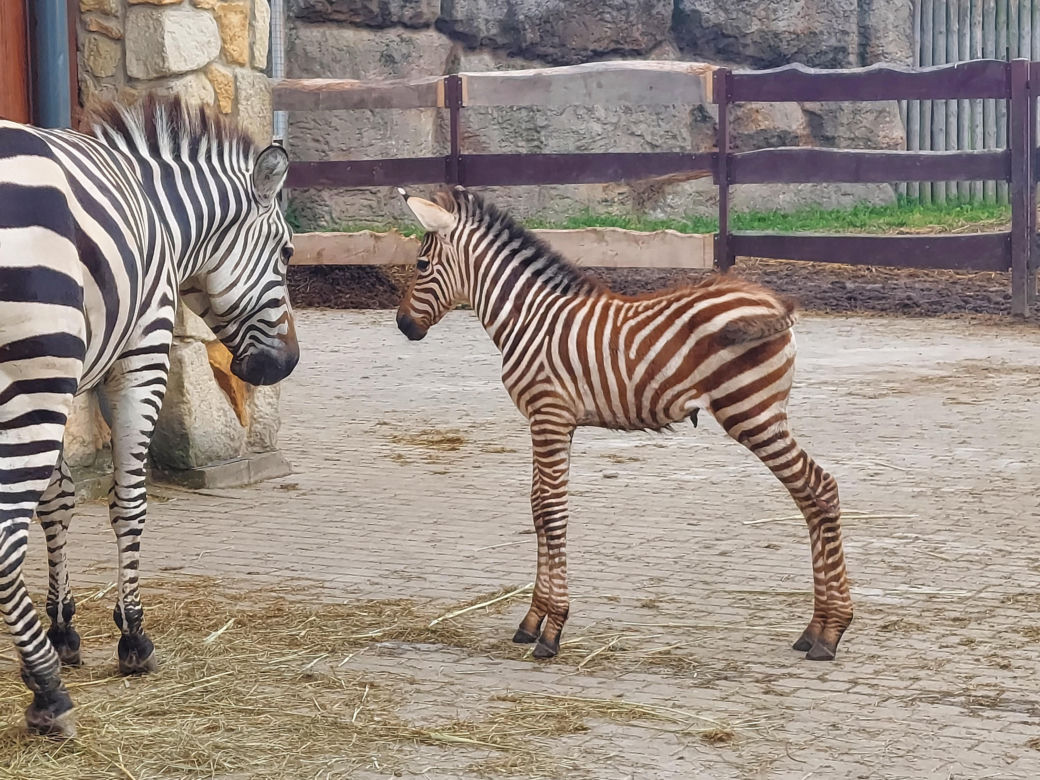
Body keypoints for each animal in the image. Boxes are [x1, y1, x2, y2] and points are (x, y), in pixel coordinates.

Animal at [0, 94, 299, 737]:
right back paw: (48, 692)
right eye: (288, 252)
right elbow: (128, 503)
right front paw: (132, 636)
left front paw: (61, 628)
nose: (286, 364)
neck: (160, 215)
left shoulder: (66, 374)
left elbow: (58, 500)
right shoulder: (140, 353)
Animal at [395, 187, 853, 663]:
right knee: (812, 495)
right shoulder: (555, 421)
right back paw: (816, 630)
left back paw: (830, 632)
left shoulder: (548, 414)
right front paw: (532, 619)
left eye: (422, 265)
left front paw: (552, 630)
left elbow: (551, 511)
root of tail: (774, 301)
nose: (403, 325)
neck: (530, 318)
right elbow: (538, 508)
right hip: (760, 413)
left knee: (819, 488)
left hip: (750, 411)